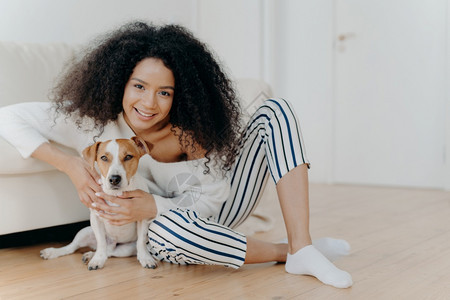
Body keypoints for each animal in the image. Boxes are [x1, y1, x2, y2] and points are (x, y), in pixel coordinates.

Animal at [39, 137, 158, 270]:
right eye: (104, 158)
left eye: (128, 157)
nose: (114, 179)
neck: (116, 194)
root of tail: (113, 243)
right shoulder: (96, 218)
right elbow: (101, 242)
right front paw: (97, 260)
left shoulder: (142, 218)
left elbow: (141, 242)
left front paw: (146, 258)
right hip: (84, 232)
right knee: (72, 247)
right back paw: (53, 252)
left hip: (126, 249)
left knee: (110, 252)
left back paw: (90, 255)